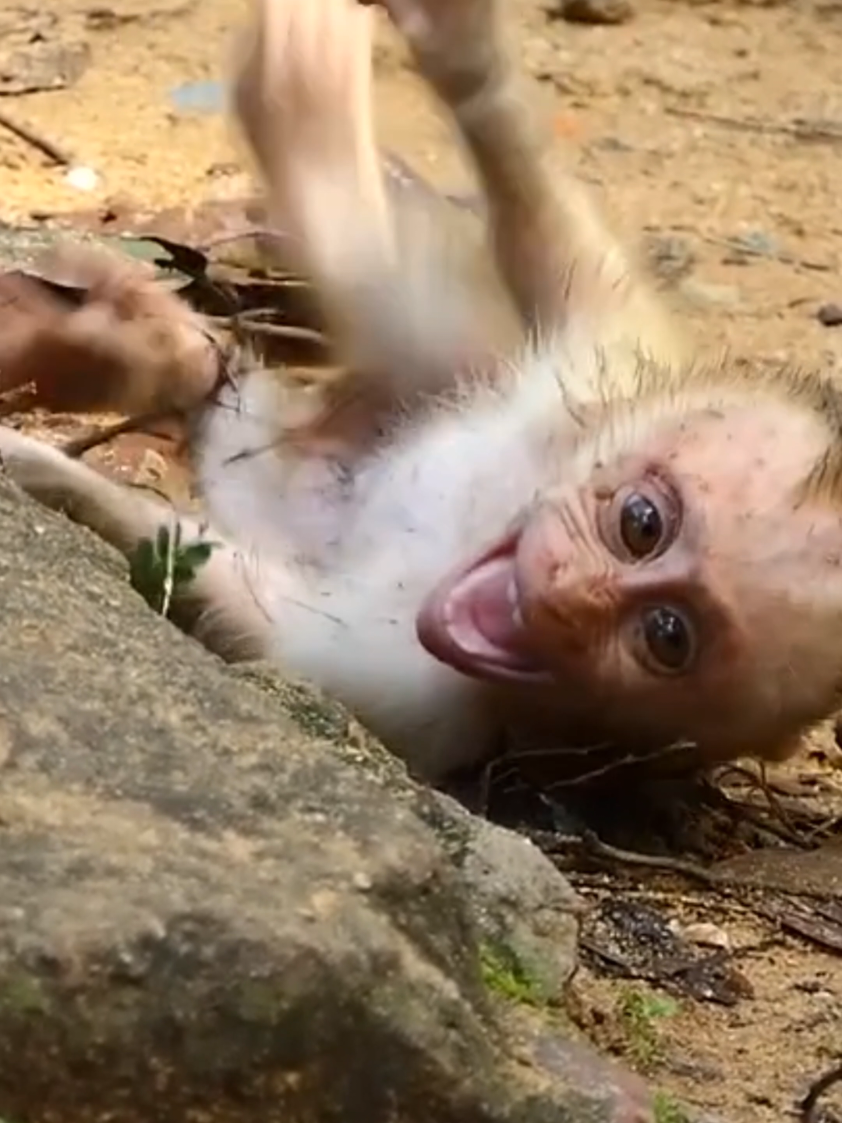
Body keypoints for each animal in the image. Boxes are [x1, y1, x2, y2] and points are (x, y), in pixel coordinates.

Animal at [0, 0, 841, 787]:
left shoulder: (426, 700)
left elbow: (256, 617)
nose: (568, 591)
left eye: (667, 636)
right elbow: (571, 272)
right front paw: (466, 62)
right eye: (641, 523)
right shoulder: (612, 366)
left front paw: (45, 472)